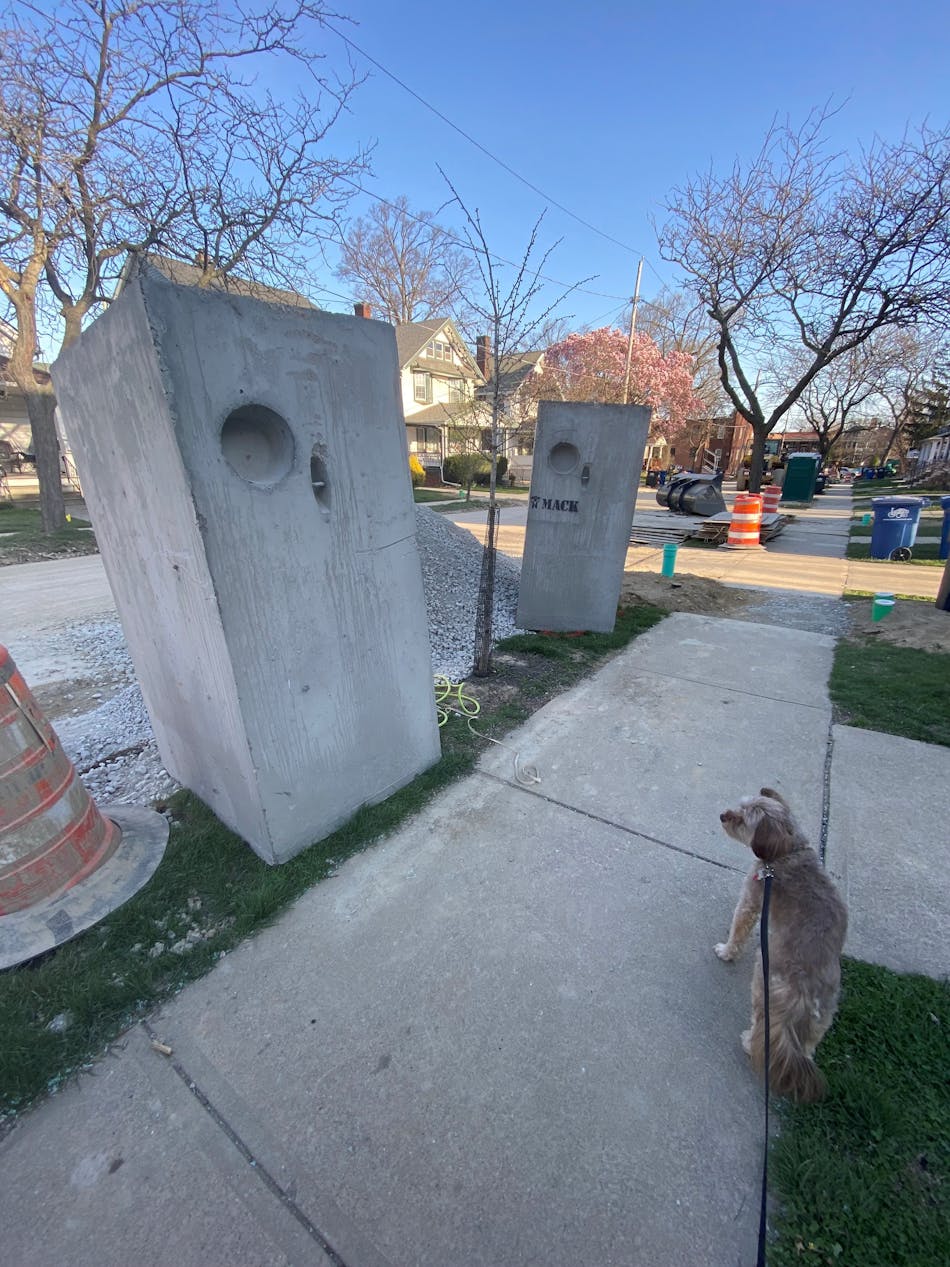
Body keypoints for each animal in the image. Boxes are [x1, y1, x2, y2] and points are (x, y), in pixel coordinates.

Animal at [714, 785, 846, 1104]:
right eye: (741, 805)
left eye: (742, 819)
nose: (723, 815)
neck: (786, 851)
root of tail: (806, 990)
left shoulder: (751, 899)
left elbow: (739, 929)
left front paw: (726, 951)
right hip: (822, 1020)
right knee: (805, 1049)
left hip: (763, 988)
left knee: (763, 1028)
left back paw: (749, 1043)